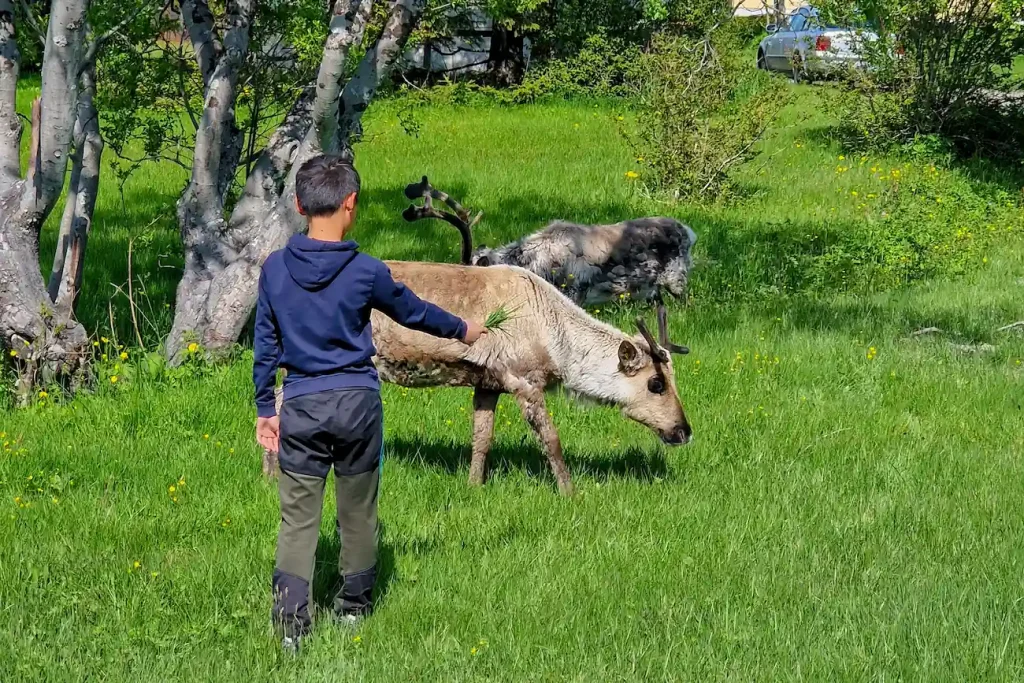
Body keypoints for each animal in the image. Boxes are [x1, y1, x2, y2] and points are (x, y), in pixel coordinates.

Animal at [263, 261, 693, 495]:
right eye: (656, 384)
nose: (684, 430)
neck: (556, 342)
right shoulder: (524, 378)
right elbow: (552, 441)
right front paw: (570, 492)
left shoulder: (487, 384)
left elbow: (482, 438)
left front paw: (474, 485)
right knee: (278, 401)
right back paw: (271, 473)